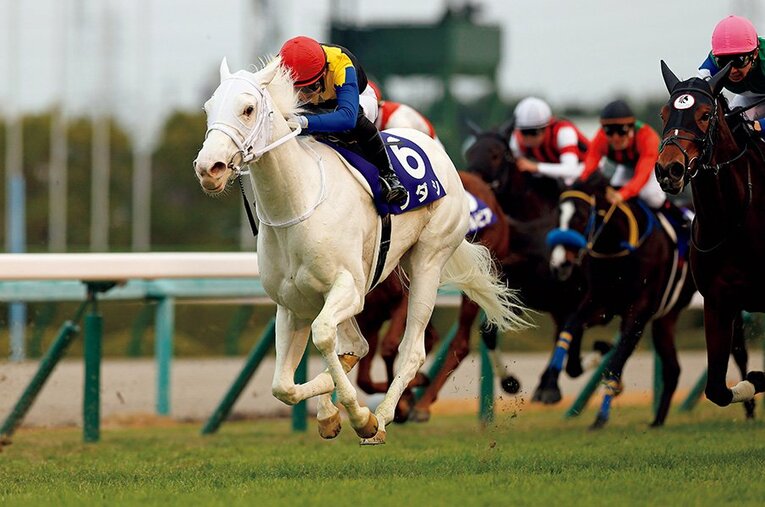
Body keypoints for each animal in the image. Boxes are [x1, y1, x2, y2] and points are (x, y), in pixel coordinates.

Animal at [193, 57, 527, 444]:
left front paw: (360, 416)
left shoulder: (349, 289)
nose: (209, 168)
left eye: (247, 109)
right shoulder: (294, 305)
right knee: (357, 346)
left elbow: (327, 337)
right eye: (208, 107)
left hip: (428, 259)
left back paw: (383, 417)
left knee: (412, 349)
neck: (297, 203)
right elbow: (284, 386)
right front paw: (329, 414)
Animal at [547, 171, 698, 428]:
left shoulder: (638, 312)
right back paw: (657, 422)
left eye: (580, 216)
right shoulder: (601, 303)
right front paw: (551, 382)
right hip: (666, 317)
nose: (559, 265)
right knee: (673, 369)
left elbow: (617, 360)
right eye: (558, 215)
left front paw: (601, 415)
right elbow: (571, 325)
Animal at [655, 61, 765, 408]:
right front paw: (753, 380)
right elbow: (716, 388)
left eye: (705, 115)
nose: (669, 169)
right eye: (663, 113)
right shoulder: (717, 303)